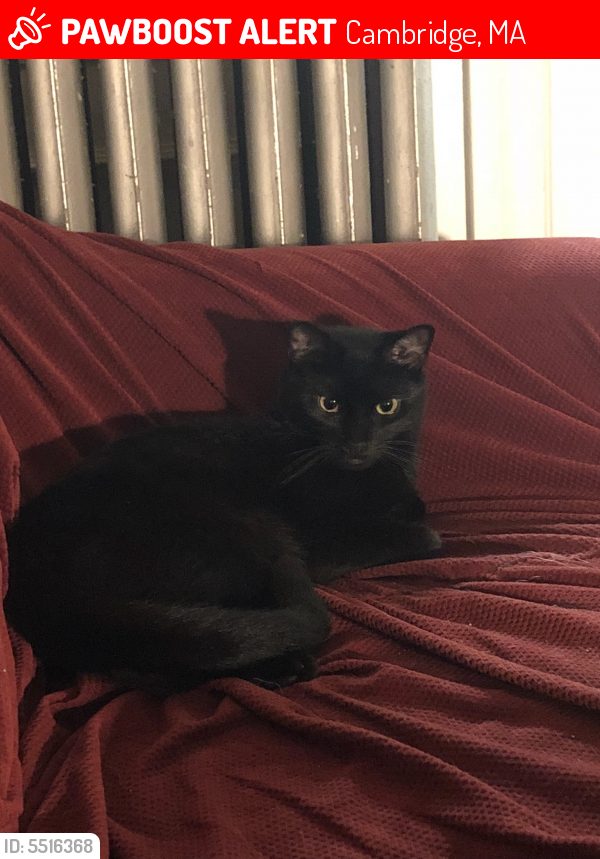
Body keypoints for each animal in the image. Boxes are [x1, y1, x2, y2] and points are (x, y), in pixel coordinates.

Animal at [4, 321, 440, 694]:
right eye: (328, 404)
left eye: (387, 406)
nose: (357, 447)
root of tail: (30, 583)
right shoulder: (321, 545)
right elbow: (427, 535)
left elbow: (413, 506)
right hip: (245, 532)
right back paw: (285, 666)